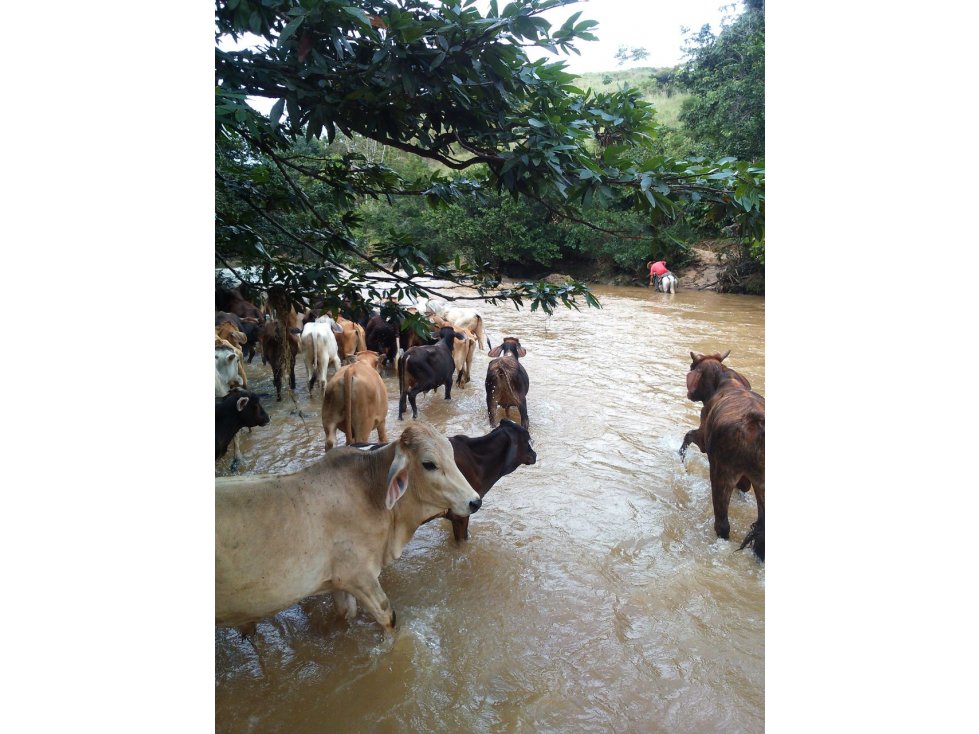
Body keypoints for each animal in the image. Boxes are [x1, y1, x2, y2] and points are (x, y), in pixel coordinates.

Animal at [214, 422, 482, 636]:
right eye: (429, 464)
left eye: (451, 455)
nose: (475, 501)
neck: (370, 491)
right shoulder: (360, 577)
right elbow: (389, 618)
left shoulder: (338, 583)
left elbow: (346, 614)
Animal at [680, 354, 764, 560]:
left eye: (692, 366)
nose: (689, 393)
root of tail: (754, 423)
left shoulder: (703, 438)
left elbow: (687, 436)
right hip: (762, 483)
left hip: (721, 473)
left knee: (722, 524)